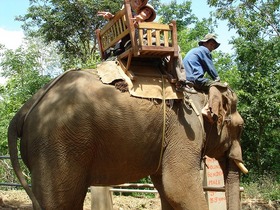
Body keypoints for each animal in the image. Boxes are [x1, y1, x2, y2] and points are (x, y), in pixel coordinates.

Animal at [7, 68, 247, 209]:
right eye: (241, 127)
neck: (199, 95)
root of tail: (26, 107)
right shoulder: (185, 130)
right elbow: (178, 189)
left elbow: (166, 189)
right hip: (57, 147)